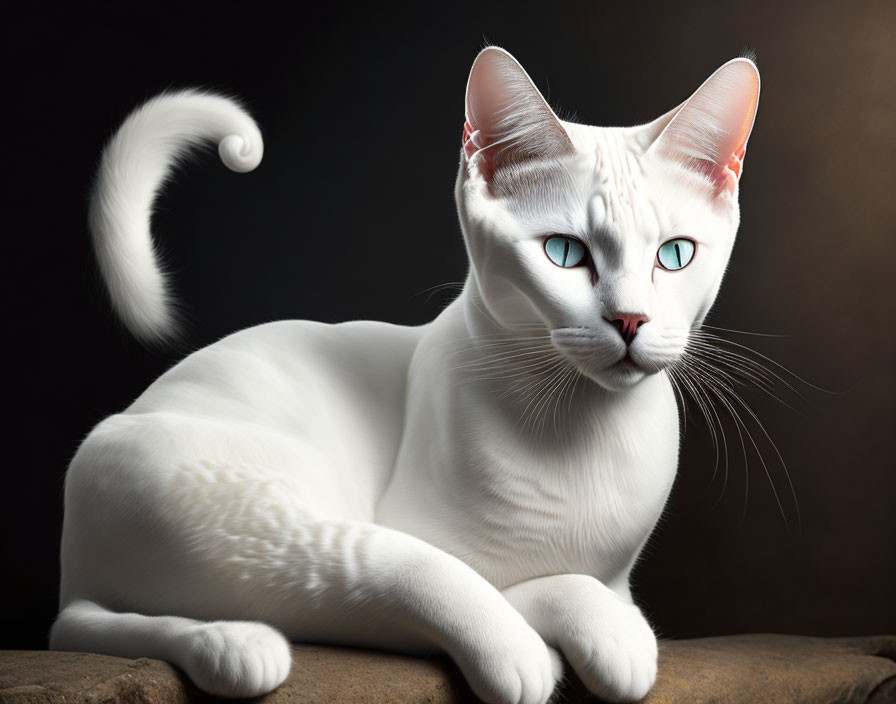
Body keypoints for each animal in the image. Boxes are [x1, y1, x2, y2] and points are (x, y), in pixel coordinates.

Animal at [50, 46, 756, 700]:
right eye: (563, 252)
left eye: (675, 256)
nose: (631, 319)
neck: (584, 433)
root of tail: (72, 572)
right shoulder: (432, 535)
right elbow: (504, 580)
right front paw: (585, 628)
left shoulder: (618, 573)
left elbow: (593, 587)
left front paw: (610, 623)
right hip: (260, 515)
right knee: (389, 578)